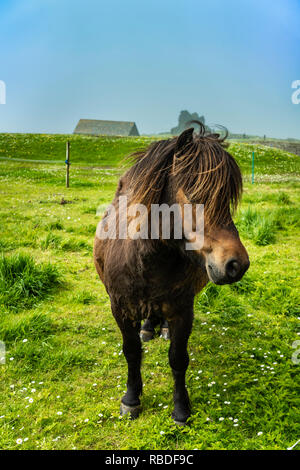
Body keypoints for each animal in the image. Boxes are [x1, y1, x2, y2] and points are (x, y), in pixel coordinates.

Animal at [94, 123, 248, 424]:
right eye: (194, 192)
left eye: (226, 198)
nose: (237, 264)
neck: (147, 260)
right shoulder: (120, 308)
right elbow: (132, 352)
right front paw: (131, 399)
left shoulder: (183, 310)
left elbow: (178, 358)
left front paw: (181, 409)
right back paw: (147, 328)